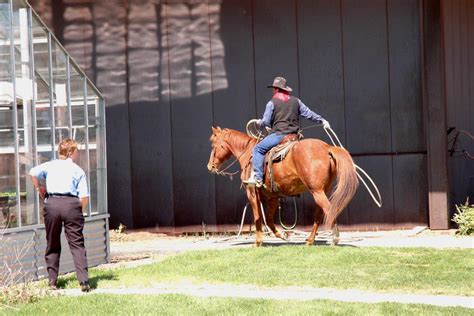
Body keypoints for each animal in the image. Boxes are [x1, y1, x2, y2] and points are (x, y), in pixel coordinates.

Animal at [207, 126, 360, 247]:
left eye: (213, 145)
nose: (210, 166)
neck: (249, 154)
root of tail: (327, 147)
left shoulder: (252, 194)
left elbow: (258, 217)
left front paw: (258, 242)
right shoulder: (273, 197)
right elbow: (269, 219)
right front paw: (283, 235)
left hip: (317, 191)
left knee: (329, 209)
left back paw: (334, 238)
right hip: (322, 191)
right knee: (319, 214)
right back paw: (310, 240)